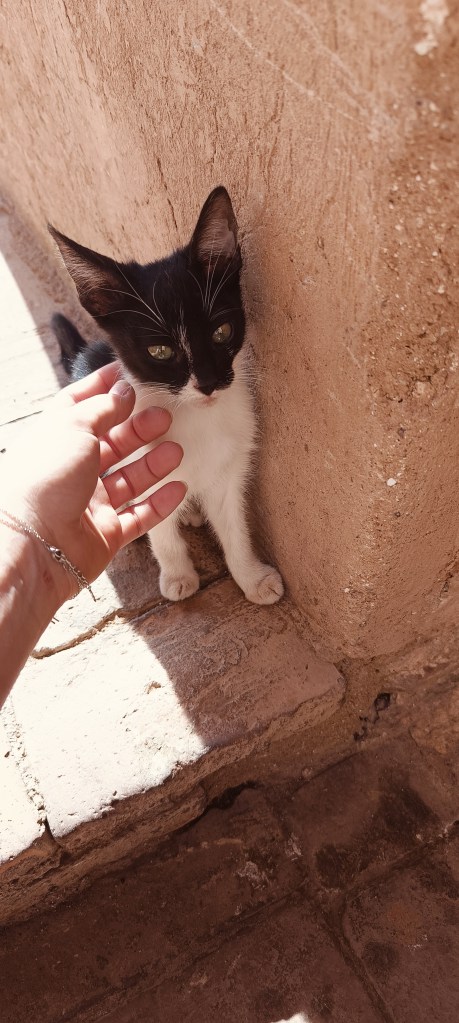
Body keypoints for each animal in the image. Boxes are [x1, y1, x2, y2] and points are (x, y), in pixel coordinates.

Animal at [49, 186, 284, 605]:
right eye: (160, 352)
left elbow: (235, 527)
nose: (208, 382)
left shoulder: (230, 468)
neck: (196, 417)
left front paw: (252, 577)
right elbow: (160, 530)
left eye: (222, 332)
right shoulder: (143, 466)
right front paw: (177, 575)